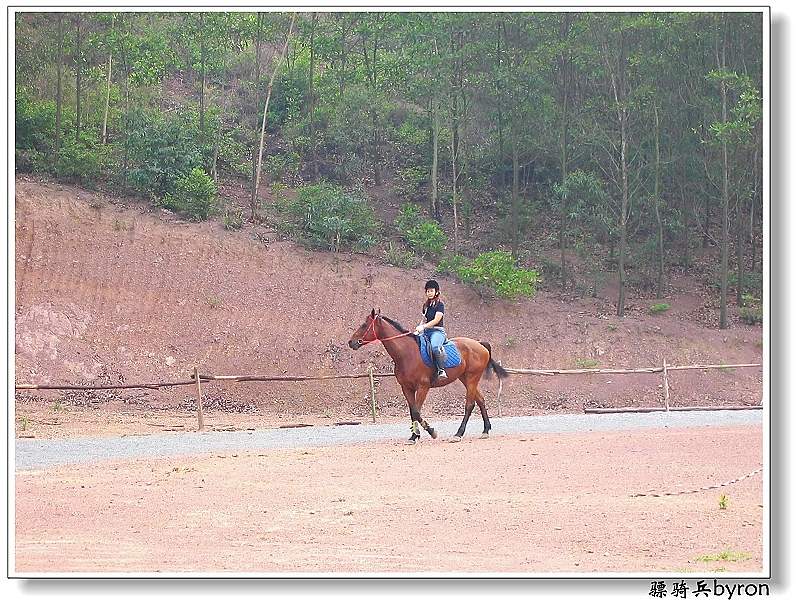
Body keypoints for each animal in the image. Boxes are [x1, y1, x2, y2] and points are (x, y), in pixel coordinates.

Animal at [346, 310, 510, 440]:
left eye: (364, 325)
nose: (351, 342)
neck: (406, 354)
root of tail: (480, 344)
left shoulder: (423, 387)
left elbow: (417, 411)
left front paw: (430, 431)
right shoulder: (406, 388)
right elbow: (413, 412)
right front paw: (414, 436)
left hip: (472, 378)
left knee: (470, 405)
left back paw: (459, 434)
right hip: (466, 378)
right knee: (481, 400)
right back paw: (485, 430)